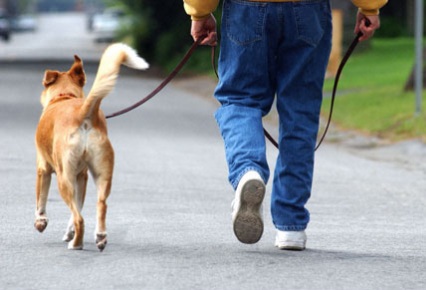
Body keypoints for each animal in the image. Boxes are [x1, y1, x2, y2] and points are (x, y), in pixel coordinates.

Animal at [34, 43, 149, 251]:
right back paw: (100, 236)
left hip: (64, 178)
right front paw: (69, 231)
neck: (65, 96)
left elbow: (41, 199)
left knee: (79, 218)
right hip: (102, 174)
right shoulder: (83, 176)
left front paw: (41, 222)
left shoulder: (43, 169)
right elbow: (78, 207)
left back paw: (77, 244)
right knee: (100, 205)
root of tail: (83, 112)